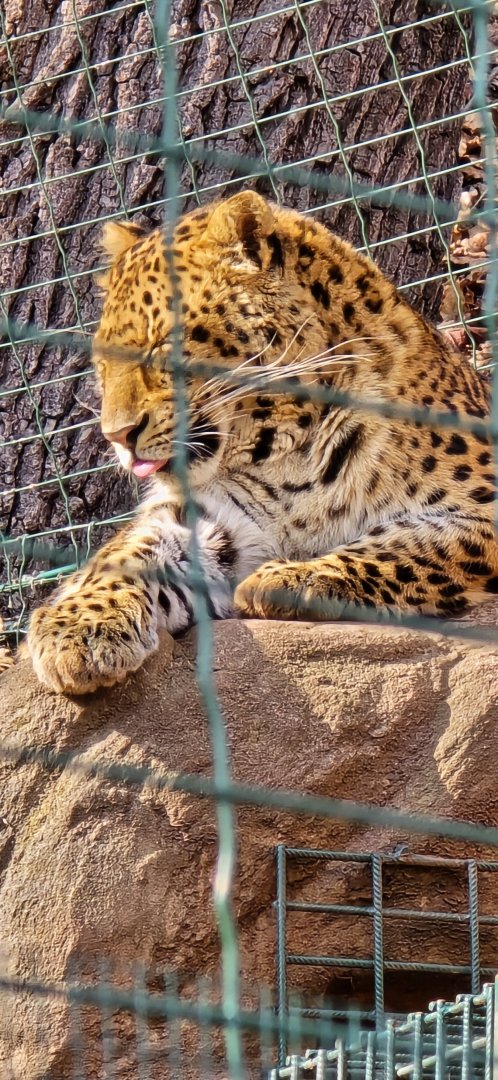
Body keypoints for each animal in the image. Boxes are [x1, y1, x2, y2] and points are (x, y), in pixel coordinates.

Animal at [27, 189, 498, 695]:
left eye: (162, 347)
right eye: (101, 363)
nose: (117, 436)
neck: (286, 450)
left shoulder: (482, 506)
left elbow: (408, 548)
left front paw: (293, 578)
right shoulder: (207, 514)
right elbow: (127, 553)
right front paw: (78, 628)